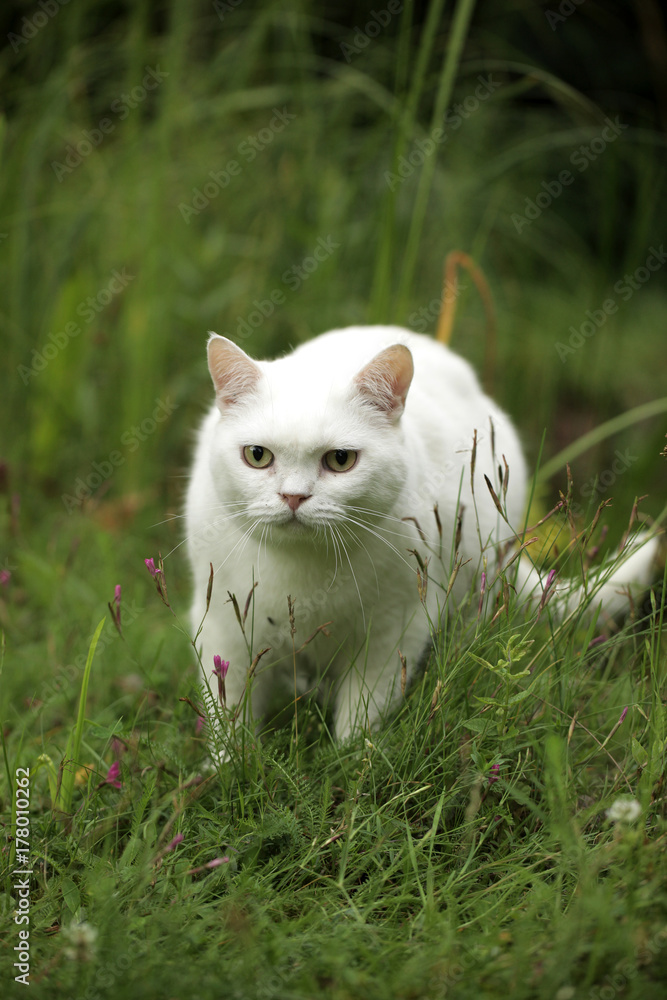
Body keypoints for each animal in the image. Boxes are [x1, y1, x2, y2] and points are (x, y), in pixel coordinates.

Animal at [185, 324, 660, 740]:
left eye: (340, 460)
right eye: (257, 455)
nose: (293, 496)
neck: (302, 574)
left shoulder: (395, 632)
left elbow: (361, 715)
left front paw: (352, 767)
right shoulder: (224, 633)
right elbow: (229, 716)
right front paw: (225, 772)